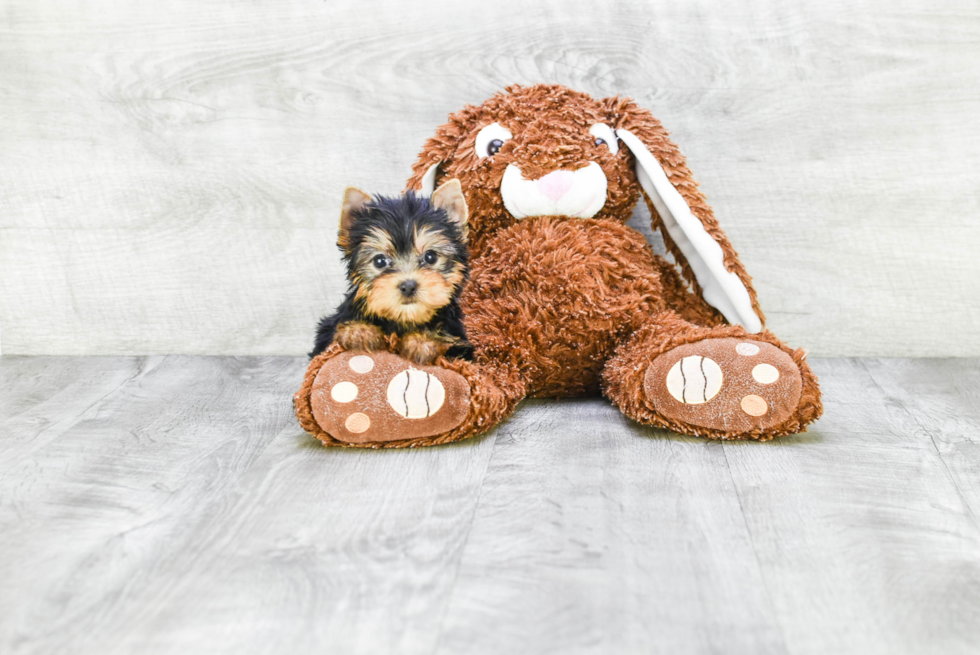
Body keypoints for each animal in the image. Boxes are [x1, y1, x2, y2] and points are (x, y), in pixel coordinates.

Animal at [308, 178, 472, 364]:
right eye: (380, 261)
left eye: (430, 257)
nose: (408, 286)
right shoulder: (328, 333)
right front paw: (359, 331)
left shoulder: (460, 344)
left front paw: (422, 342)